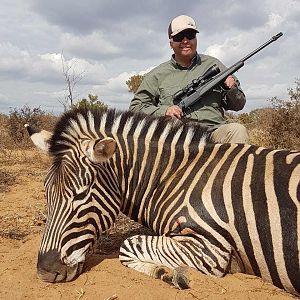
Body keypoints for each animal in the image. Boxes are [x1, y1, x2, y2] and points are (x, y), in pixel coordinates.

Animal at [27, 107, 298, 296]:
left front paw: (169, 273)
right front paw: (165, 272)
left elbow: (127, 246)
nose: (45, 272)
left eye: (81, 194)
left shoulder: (211, 248)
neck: (175, 175)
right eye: (46, 192)